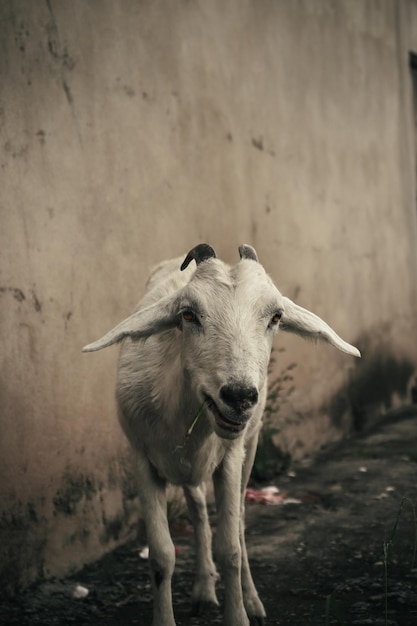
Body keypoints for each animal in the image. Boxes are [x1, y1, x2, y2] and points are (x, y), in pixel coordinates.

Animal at [83, 244, 360, 624]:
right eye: (188, 314)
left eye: (276, 317)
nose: (239, 396)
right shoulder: (142, 459)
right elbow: (161, 556)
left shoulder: (230, 456)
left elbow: (230, 548)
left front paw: (240, 612)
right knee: (199, 510)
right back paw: (203, 589)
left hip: (250, 446)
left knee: (239, 521)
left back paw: (251, 601)